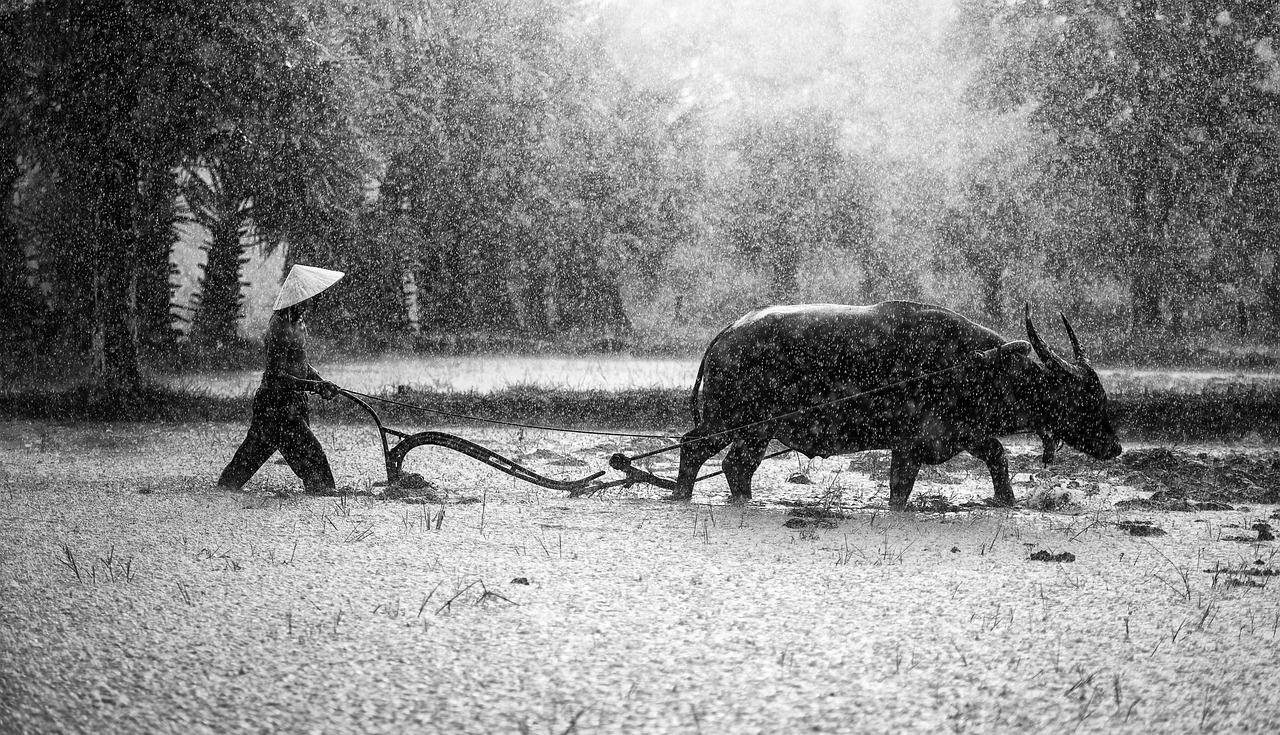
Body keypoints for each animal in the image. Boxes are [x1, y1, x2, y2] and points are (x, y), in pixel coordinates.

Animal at [670, 302, 1121, 509]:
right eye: (1086, 400)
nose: (1115, 446)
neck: (972, 364)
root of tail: (727, 333)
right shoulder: (915, 444)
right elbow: (902, 488)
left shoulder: (957, 437)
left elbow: (997, 457)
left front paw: (1007, 502)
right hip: (730, 420)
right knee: (693, 447)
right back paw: (679, 496)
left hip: (757, 431)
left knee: (736, 466)